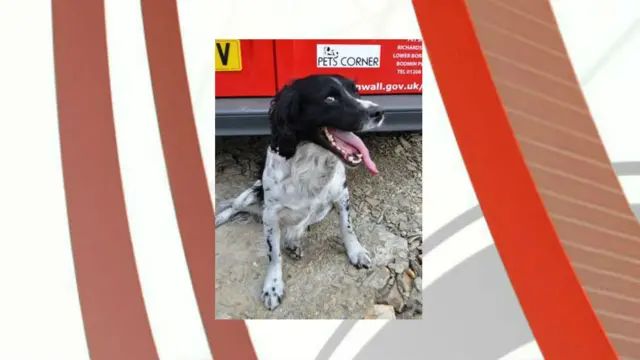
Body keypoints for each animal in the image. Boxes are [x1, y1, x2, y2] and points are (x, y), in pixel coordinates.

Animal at [215, 74, 384, 310]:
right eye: (330, 98)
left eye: (356, 91)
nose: (379, 112)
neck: (311, 163)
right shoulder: (271, 213)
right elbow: (273, 253)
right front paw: (273, 285)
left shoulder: (341, 195)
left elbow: (347, 227)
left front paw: (356, 252)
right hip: (251, 195)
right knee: (233, 206)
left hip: (322, 210)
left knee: (299, 225)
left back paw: (293, 242)